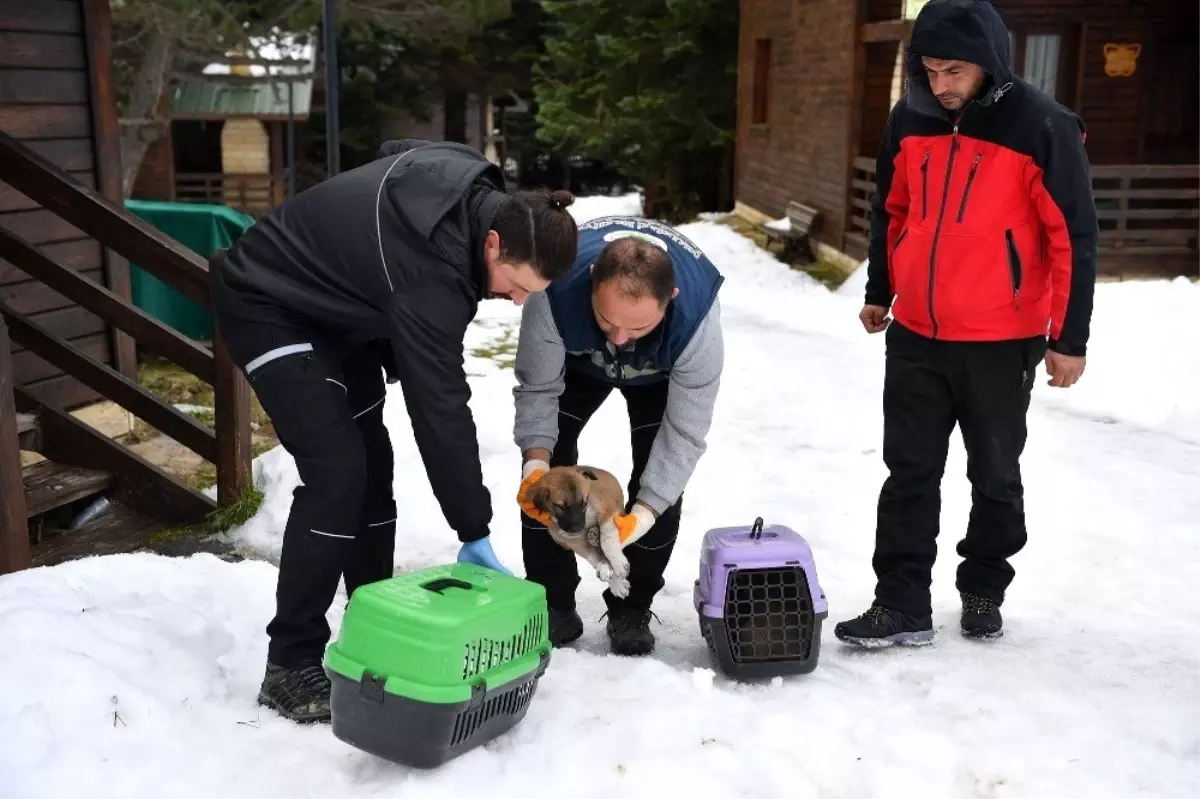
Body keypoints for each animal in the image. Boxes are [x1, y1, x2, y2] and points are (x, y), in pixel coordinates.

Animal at [528, 460, 638, 597]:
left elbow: (607, 541)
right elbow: (593, 557)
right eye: (561, 507)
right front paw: (612, 578)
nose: (578, 528)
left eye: (583, 503)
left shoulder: (607, 511)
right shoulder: (572, 539)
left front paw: (617, 564)